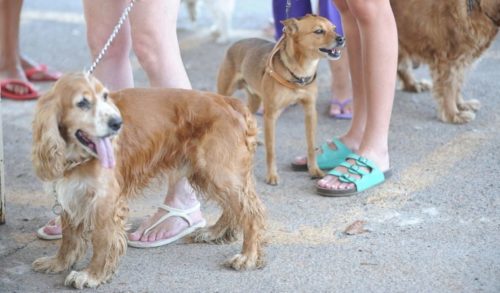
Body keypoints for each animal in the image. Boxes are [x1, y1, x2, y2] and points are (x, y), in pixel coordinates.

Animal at [30, 72, 266, 288]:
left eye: (105, 96)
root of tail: (230, 102)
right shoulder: (71, 194)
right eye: (82, 103)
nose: (118, 123)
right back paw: (215, 232)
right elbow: (69, 238)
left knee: (251, 212)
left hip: (218, 171)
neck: (77, 155)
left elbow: (102, 240)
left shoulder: (105, 201)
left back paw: (248, 256)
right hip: (209, 173)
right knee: (234, 208)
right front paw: (58, 263)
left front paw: (92, 275)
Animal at [217, 14, 346, 184]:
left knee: (248, 114)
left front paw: (314, 170)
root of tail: (236, 43)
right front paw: (271, 175)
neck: (301, 71)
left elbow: (311, 145)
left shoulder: (310, 111)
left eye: (334, 28)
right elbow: (271, 150)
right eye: (319, 31)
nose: (341, 38)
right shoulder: (271, 116)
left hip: (255, 100)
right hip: (225, 93)